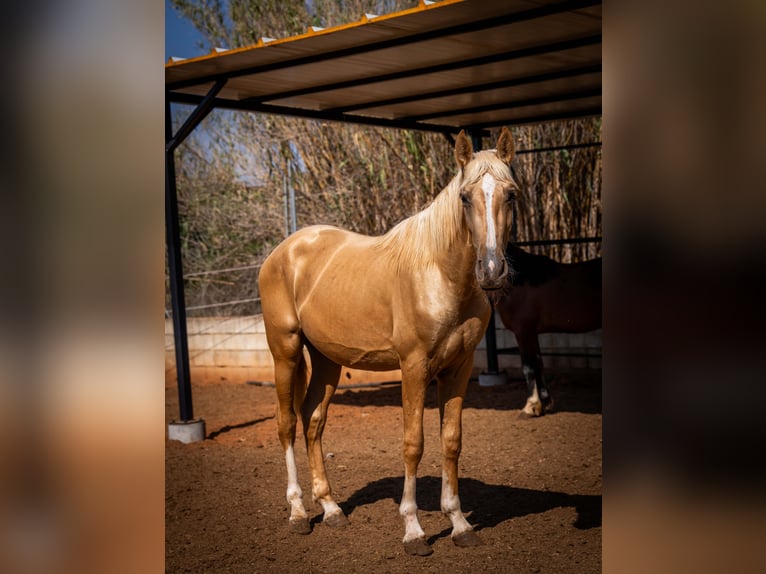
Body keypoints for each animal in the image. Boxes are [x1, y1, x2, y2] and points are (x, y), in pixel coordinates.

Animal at [260, 128, 520, 556]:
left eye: (511, 194)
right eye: (465, 197)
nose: (492, 271)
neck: (440, 274)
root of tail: (285, 250)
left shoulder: (459, 368)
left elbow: (451, 441)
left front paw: (459, 524)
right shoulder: (413, 368)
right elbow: (413, 443)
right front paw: (414, 531)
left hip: (327, 360)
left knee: (313, 420)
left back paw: (331, 509)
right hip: (286, 351)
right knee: (286, 424)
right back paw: (298, 513)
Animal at [498, 244, 608, 418]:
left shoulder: (523, 332)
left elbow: (529, 367)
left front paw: (531, 406)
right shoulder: (531, 333)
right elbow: (538, 364)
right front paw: (545, 404)